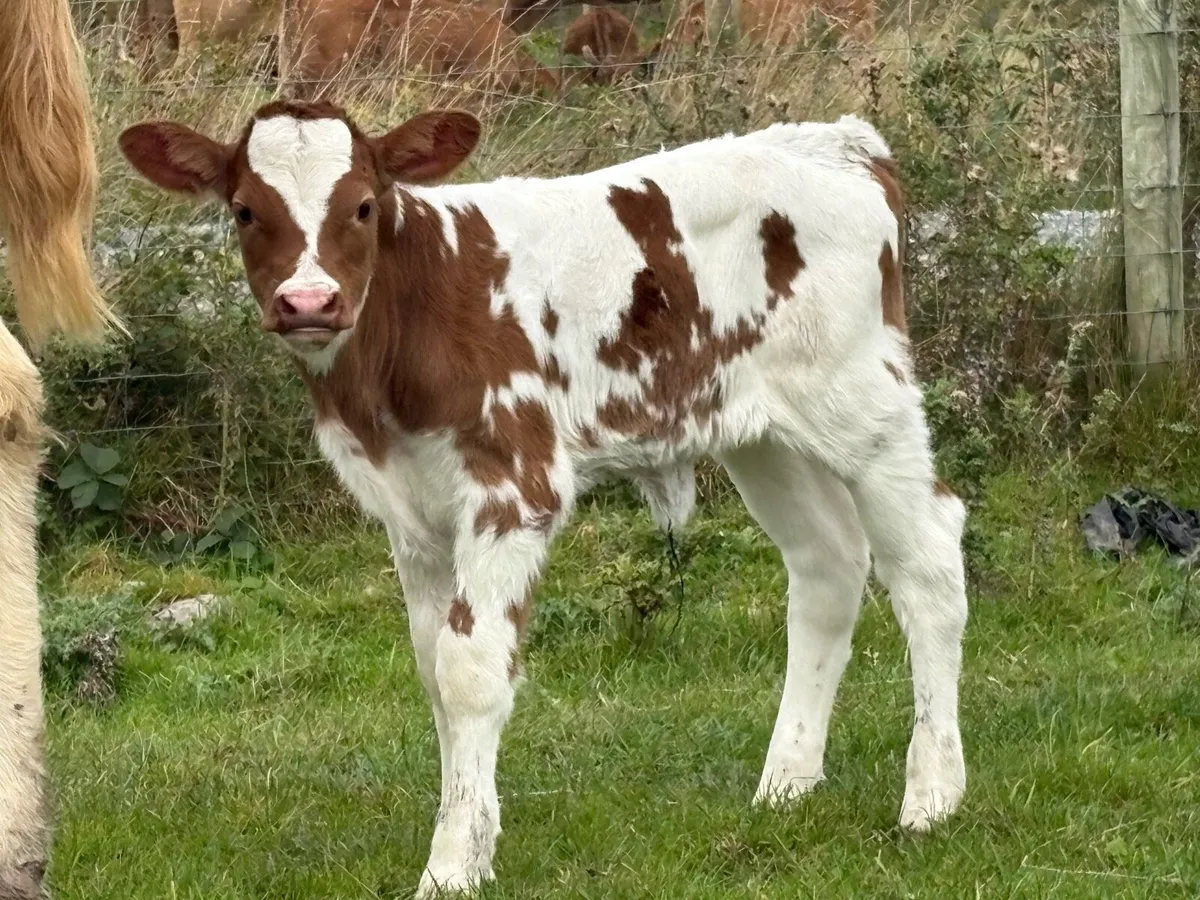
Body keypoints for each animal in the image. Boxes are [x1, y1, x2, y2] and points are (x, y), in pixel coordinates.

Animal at [118, 99, 968, 896]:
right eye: (244, 209)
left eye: (361, 204)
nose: (308, 302)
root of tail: (842, 141)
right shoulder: (411, 516)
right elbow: (433, 666)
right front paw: (474, 836)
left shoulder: (512, 485)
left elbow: (469, 670)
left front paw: (450, 866)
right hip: (760, 431)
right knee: (827, 565)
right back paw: (786, 783)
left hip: (864, 402)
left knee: (928, 562)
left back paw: (931, 795)